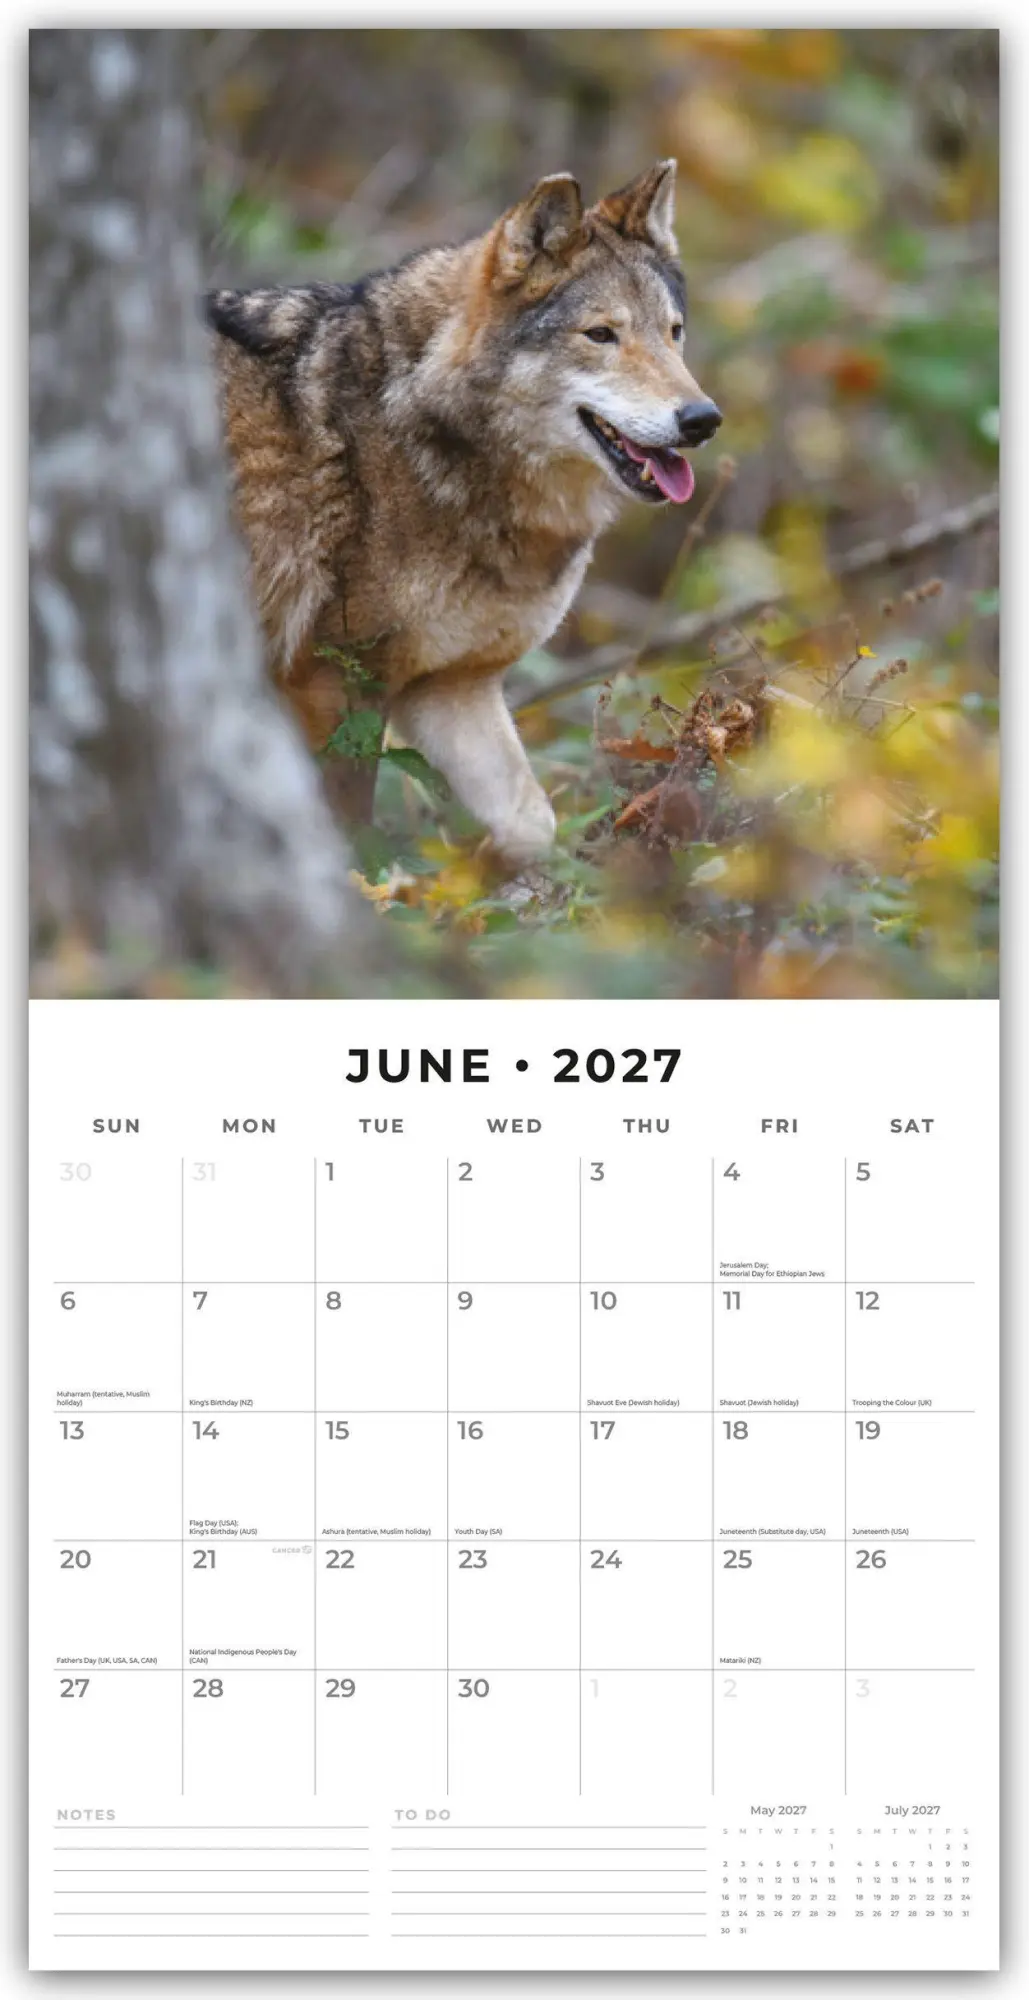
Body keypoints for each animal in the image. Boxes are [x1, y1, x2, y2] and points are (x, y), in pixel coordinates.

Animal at [207, 160, 721, 865]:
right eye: (601, 335)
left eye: (674, 333)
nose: (702, 419)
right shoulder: (333, 684)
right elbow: (349, 834)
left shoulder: (453, 688)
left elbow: (533, 823)